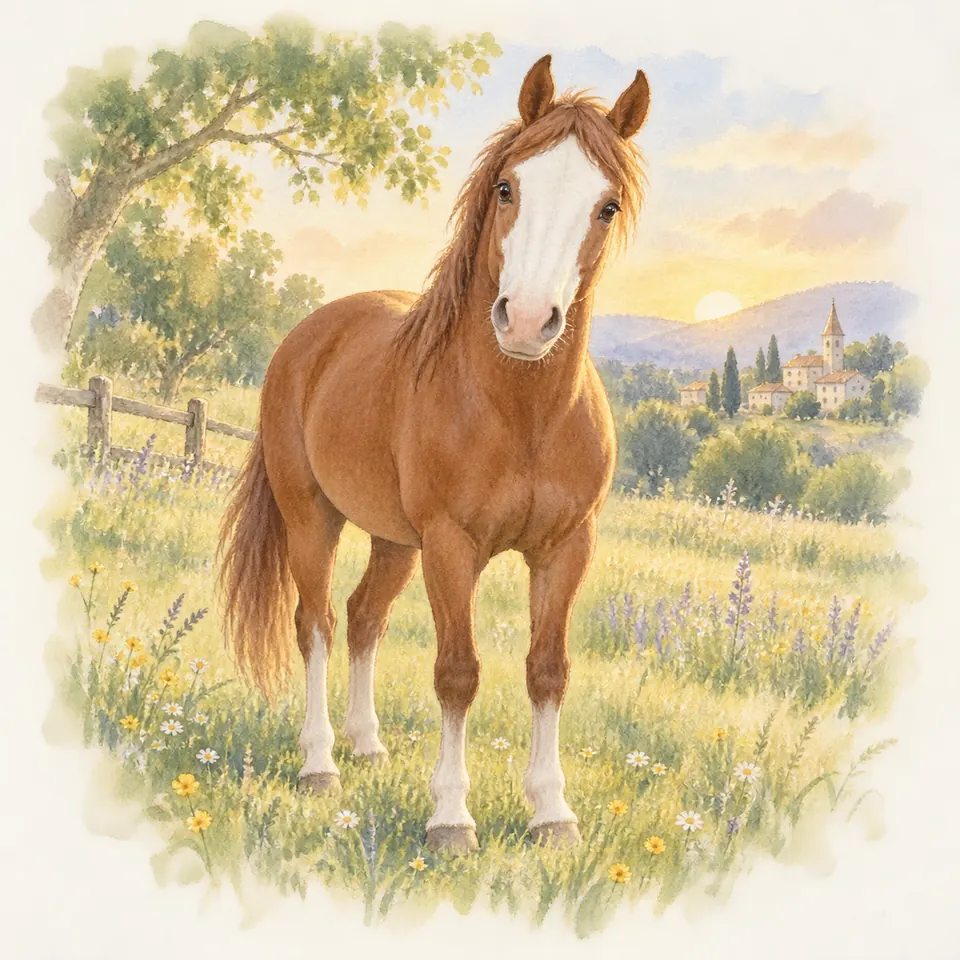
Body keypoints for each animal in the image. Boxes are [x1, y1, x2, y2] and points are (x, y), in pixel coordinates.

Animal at [218, 54, 650, 854]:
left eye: (605, 206)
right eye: (508, 186)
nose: (528, 320)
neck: (521, 411)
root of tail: (309, 335)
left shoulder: (566, 548)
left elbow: (548, 670)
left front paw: (552, 813)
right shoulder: (451, 546)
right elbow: (458, 672)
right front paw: (451, 818)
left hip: (394, 540)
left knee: (363, 618)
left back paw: (366, 745)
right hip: (311, 519)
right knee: (316, 624)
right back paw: (320, 764)